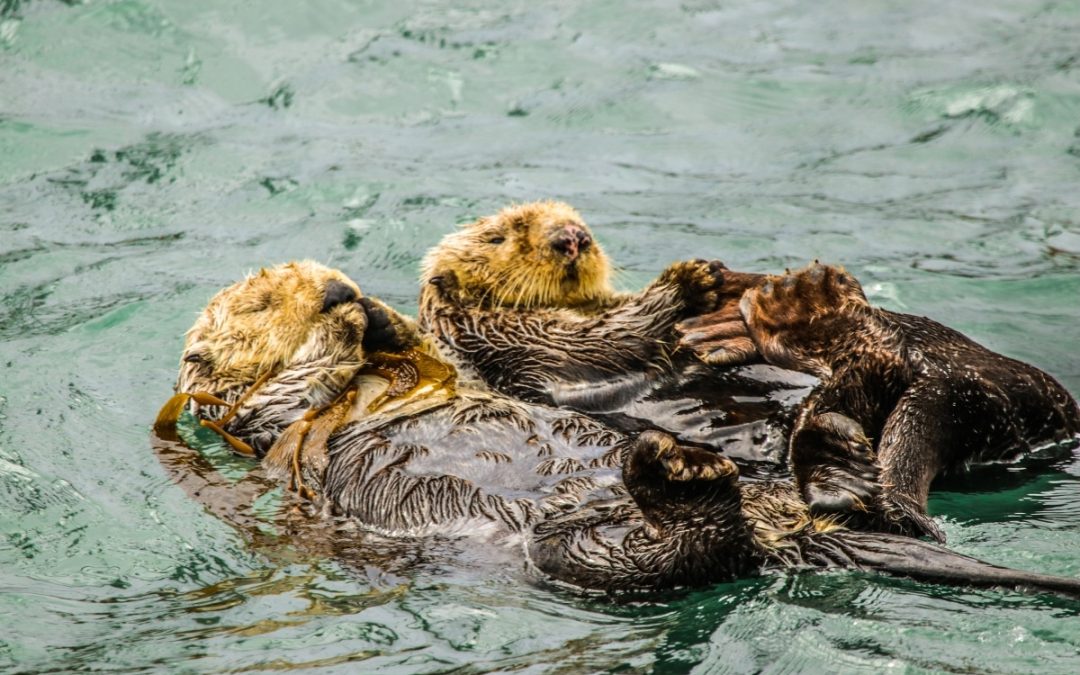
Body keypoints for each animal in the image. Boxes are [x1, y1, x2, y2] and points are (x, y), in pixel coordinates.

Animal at [417, 201, 812, 465]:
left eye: (576, 219)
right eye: (496, 239)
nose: (572, 237)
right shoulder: (512, 337)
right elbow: (606, 339)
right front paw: (689, 281)